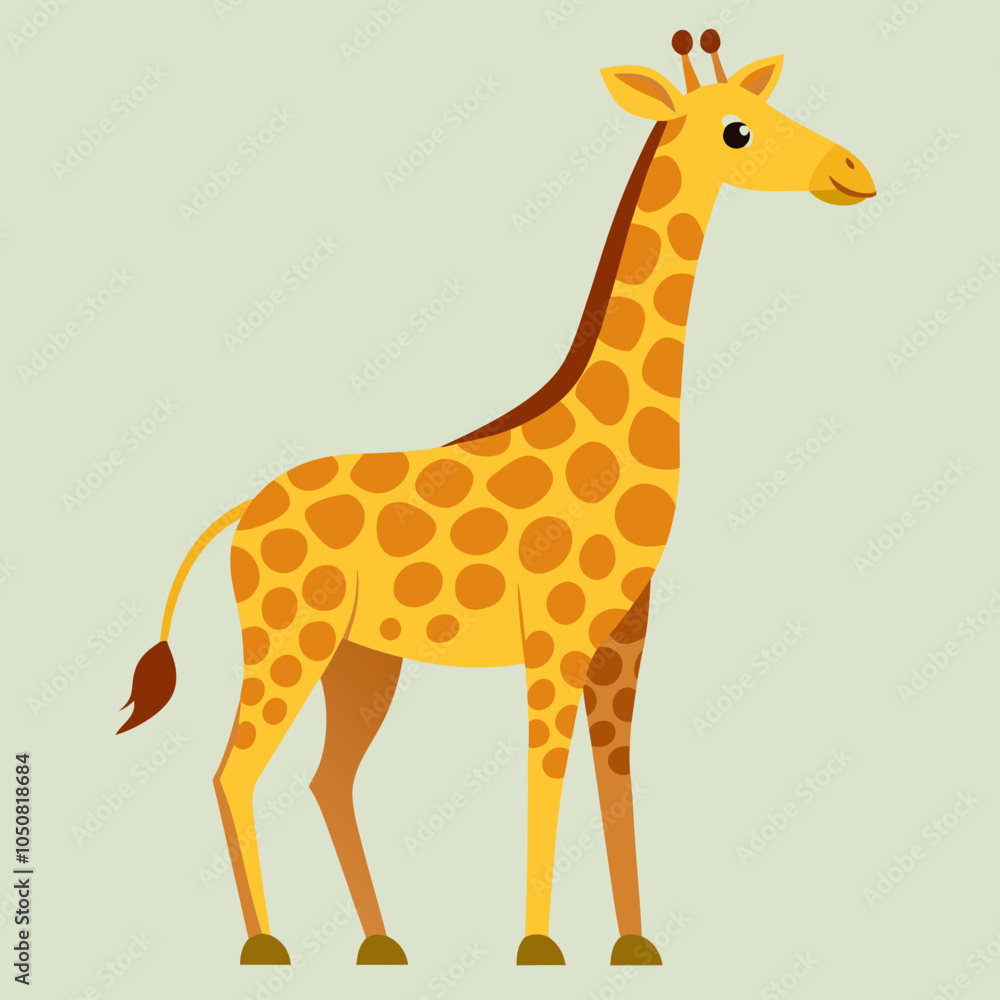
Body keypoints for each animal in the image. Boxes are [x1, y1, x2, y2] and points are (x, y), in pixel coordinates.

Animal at [118, 30, 875, 967]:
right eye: (738, 130)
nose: (853, 171)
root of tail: (241, 513)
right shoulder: (552, 636)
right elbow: (542, 779)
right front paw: (539, 948)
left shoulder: (624, 640)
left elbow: (615, 780)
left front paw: (634, 945)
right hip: (289, 636)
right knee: (236, 769)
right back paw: (267, 946)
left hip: (363, 659)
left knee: (329, 778)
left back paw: (381, 942)